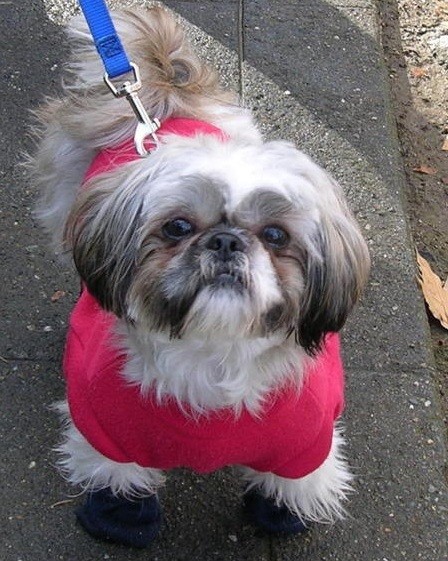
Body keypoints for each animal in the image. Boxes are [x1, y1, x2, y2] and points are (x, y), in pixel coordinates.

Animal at [28, 4, 372, 548]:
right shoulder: (107, 429)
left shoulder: (305, 442)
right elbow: (118, 475)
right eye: (178, 227)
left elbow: (292, 481)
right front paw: (120, 521)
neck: (214, 354)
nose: (226, 241)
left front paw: (280, 515)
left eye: (275, 235)